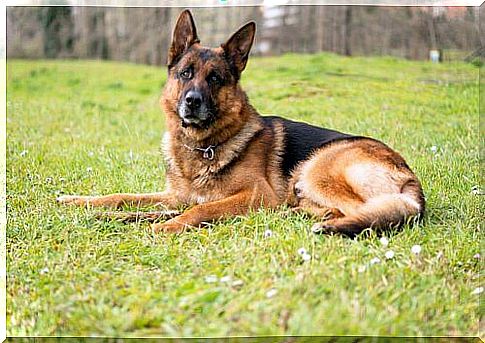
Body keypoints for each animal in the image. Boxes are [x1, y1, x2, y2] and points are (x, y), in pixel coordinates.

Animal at [57, 10, 424, 236]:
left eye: (215, 78)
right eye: (185, 73)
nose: (192, 102)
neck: (203, 146)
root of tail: (408, 174)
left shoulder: (254, 195)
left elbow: (199, 210)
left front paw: (165, 226)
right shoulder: (174, 196)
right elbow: (121, 196)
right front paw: (82, 203)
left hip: (317, 168)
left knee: (369, 209)